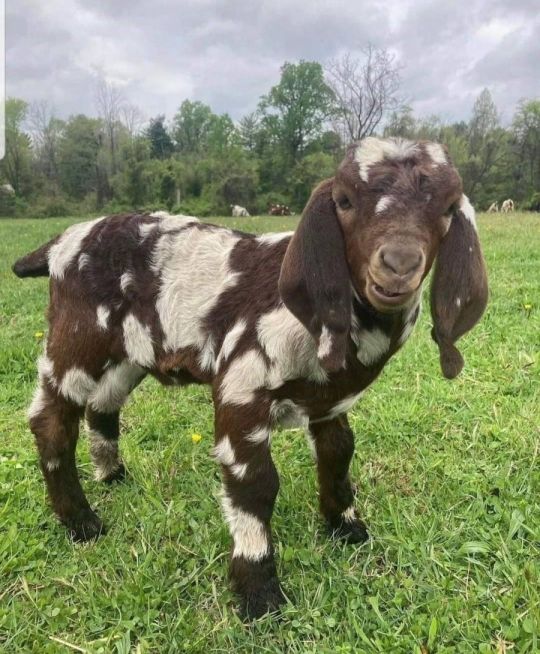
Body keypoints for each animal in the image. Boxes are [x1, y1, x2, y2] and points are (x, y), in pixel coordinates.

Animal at [13, 138, 488, 619]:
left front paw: (346, 526)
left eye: (449, 207)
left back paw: (112, 475)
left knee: (103, 403)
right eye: (344, 201)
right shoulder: (241, 386)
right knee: (51, 420)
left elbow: (339, 452)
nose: (398, 263)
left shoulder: (329, 401)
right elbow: (255, 484)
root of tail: (62, 241)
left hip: (132, 351)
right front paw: (259, 591)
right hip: (77, 336)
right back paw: (80, 521)